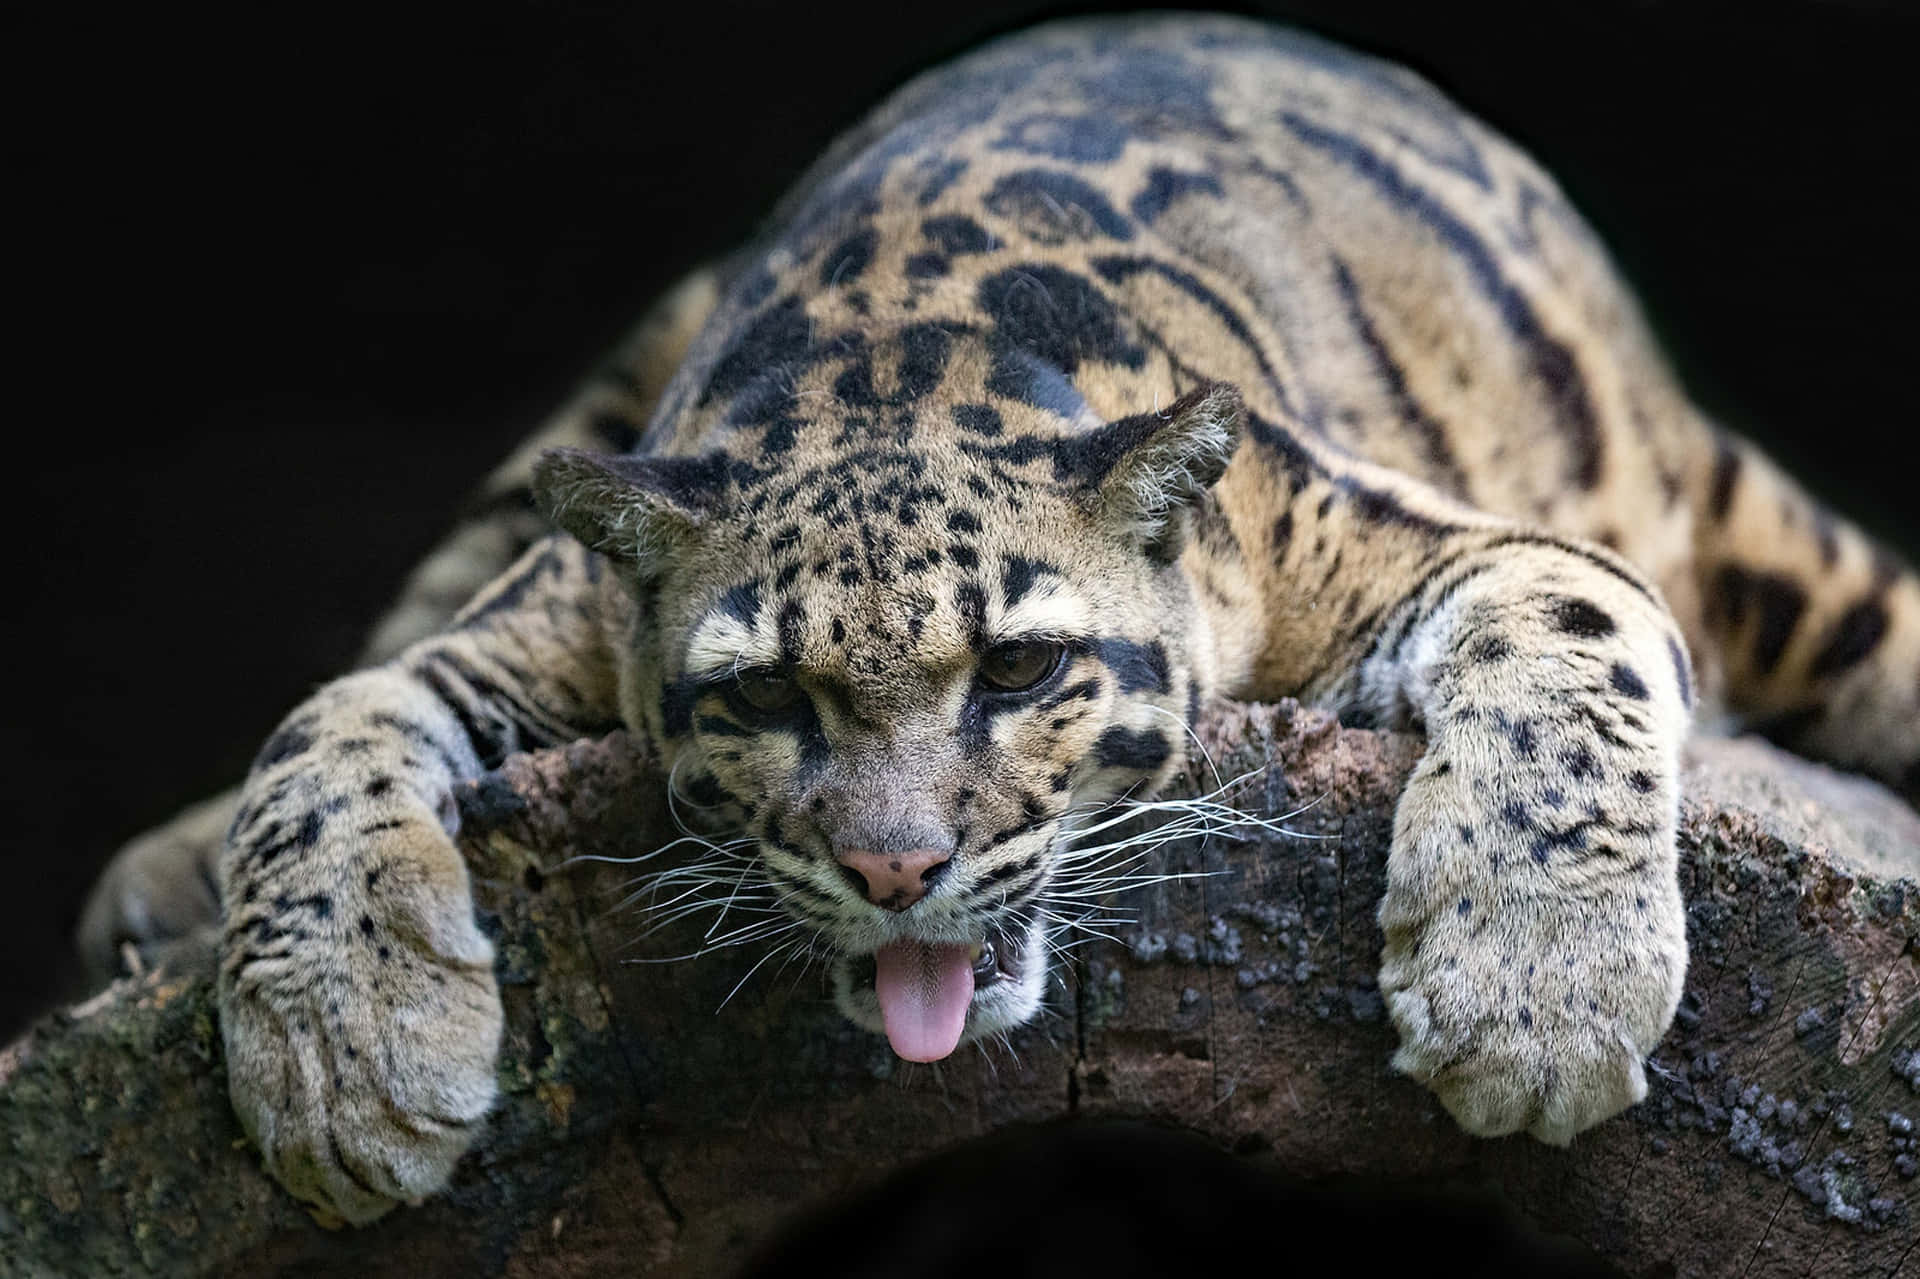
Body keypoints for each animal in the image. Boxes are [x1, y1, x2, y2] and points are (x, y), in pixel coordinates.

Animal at [77, 12, 1920, 1225]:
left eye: (1023, 666)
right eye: (765, 699)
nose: (897, 869)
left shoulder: (1419, 529)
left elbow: (1567, 647)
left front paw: (1534, 999)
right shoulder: (557, 606)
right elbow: (324, 726)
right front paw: (342, 1062)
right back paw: (154, 883)